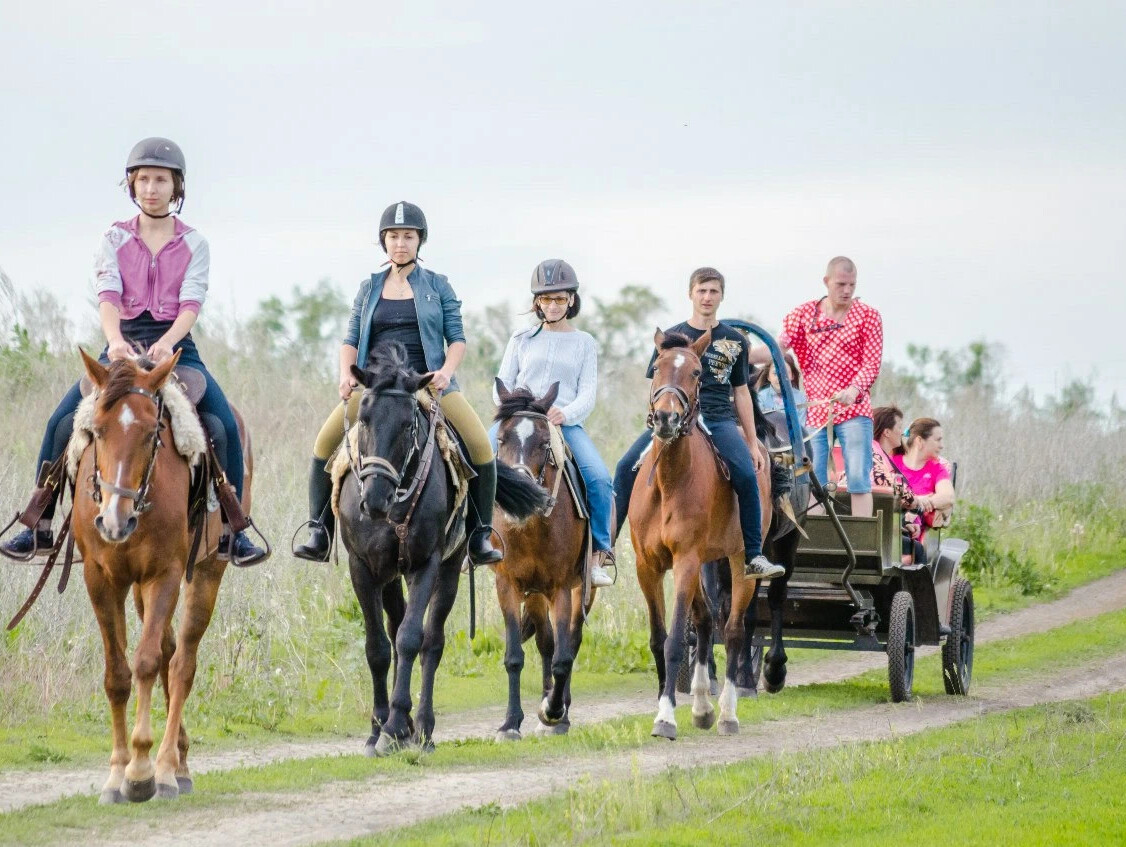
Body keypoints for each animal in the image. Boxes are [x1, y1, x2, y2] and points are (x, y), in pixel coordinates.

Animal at [74, 349, 253, 801]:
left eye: (151, 433)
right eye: (97, 430)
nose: (114, 522)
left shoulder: (166, 575)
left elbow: (147, 662)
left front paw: (140, 772)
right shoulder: (101, 580)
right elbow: (118, 674)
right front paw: (116, 774)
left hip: (205, 573)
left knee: (182, 661)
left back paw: (170, 768)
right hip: (138, 588)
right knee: (170, 652)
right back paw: (179, 761)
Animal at [342, 340, 553, 752]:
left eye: (408, 426)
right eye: (364, 419)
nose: (374, 499)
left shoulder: (427, 563)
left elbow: (412, 640)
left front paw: (395, 726)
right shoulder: (363, 567)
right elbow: (377, 647)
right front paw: (378, 729)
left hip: (450, 570)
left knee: (431, 642)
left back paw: (421, 728)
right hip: (391, 575)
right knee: (394, 630)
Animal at [490, 380, 599, 738]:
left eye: (544, 443)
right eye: (501, 439)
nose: (521, 487)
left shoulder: (563, 587)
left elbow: (565, 657)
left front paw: (554, 712)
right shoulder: (508, 585)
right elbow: (515, 655)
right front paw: (510, 723)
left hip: (582, 589)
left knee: (570, 643)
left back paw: (558, 710)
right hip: (536, 594)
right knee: (546, 644)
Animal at [635, 326, 774, 738]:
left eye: (697, 373)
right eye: (657, 367)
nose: (666, 417)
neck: (669, 480)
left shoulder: (685, 561)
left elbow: (675, 641)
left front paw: (665, 717)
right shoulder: (648, 567)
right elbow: (659, 638)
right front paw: (667, 703)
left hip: (738, 563)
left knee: (733, 629)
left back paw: (727, 712)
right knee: (706, 620)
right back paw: (701, 707)